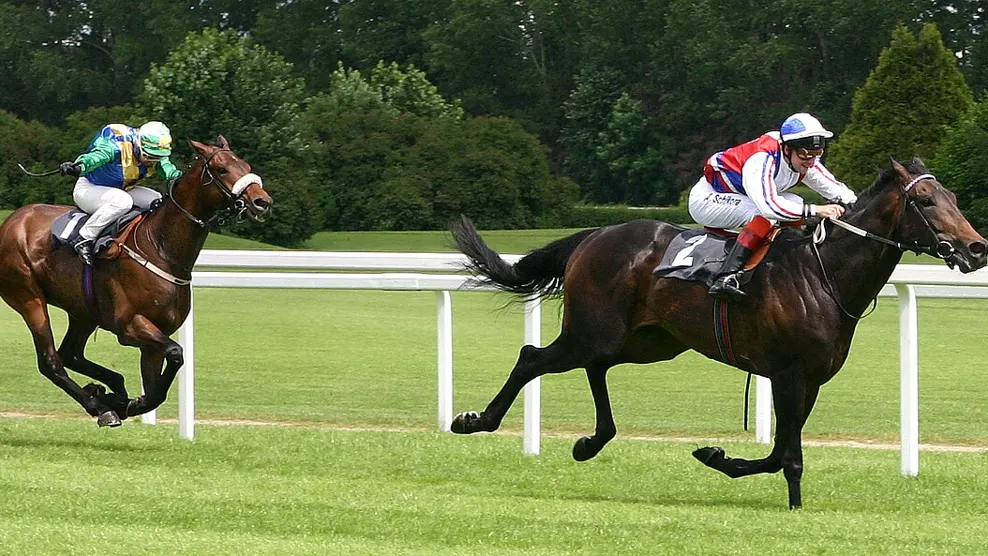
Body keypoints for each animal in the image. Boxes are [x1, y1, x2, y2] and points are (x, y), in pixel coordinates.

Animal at [0, 136, 272, 427]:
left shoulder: (155, 337)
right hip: (28, 298)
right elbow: (175, 353)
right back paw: (99, 405)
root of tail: (11, 222)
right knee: (51, 361)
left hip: (83, 311)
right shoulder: (130, 326)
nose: (262, 201)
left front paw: (124, 402)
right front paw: (123, 404)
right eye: (222, 169)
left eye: (246, 166)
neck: (161, 248)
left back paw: (107, 391)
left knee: (70, 353)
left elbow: (157, 388)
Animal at [449, 158, 987, 509]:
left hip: (647, 341)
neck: (823, 272)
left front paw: (717, 456)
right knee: (531, 356)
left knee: (594, 367)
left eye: (954, 198)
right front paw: (787, 501)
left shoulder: (809, 380)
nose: (976, 248)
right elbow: (787, 455)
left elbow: (779, 452)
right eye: (924, 200)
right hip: (594, 330)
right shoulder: (788, 375)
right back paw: (475, 421)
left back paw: (592, 441)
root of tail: (594, 235)